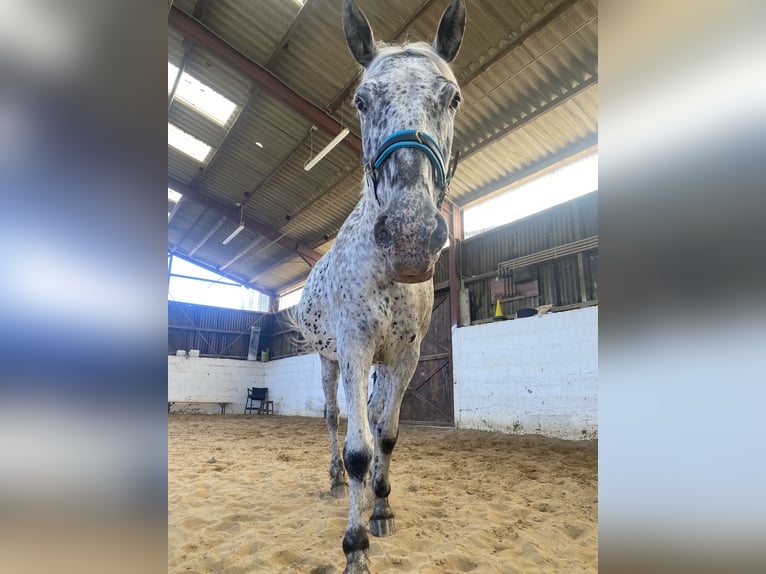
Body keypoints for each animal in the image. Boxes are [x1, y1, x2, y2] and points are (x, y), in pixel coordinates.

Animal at [298, 2, 468, 572]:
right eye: (361, 99)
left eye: (452, 97)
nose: (411, 236)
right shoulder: (354, 346)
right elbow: (357, 448)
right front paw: (354, 546)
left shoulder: (404, 356)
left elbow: (387, 435)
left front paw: (381, 509)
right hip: (327, 358)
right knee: (334, 419)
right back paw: (333, 480)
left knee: (369, 417)